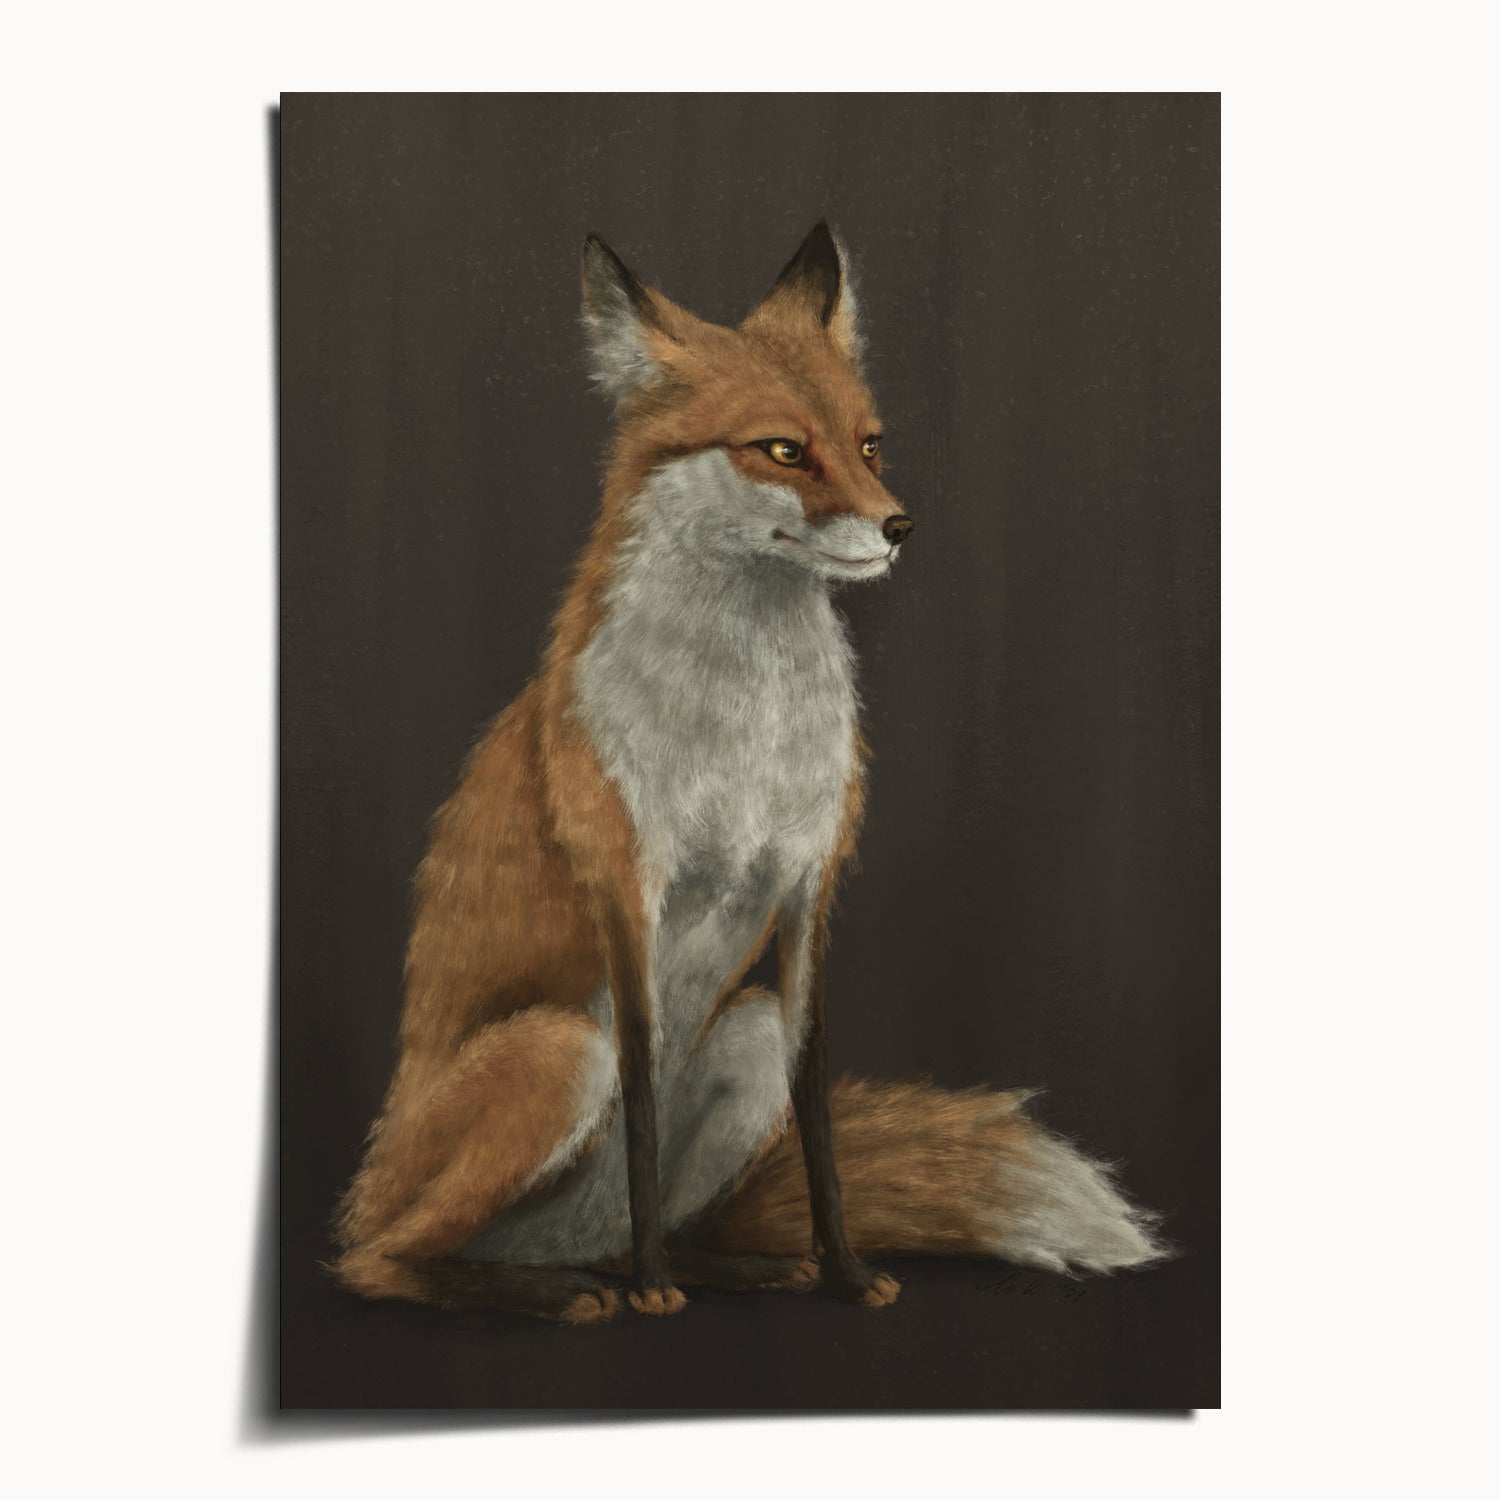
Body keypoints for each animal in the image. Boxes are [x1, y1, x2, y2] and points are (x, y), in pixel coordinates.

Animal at [331, 222, 1167, 1323]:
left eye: (869, 444)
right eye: (782, 450)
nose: (900, 526)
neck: (747, 730)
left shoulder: (810, 885)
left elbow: (817, 1113)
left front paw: (844, 1271)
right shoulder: (628, 887)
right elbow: (643, 1098)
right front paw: (655, 1292)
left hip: (745, 1033)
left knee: (635, 1225)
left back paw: (721, 1267)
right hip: (557, 1052)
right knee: (382, 1260)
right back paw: (565, 1289)